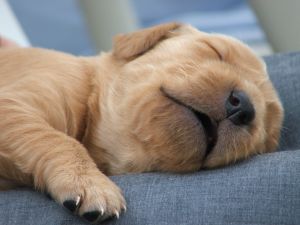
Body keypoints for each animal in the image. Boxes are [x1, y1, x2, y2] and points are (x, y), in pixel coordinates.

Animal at [0, 23, 282, 222]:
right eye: (215, 51)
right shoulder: (11, 103)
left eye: (267, 122)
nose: (244, 107)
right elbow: (56, 138)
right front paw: (90, 183)